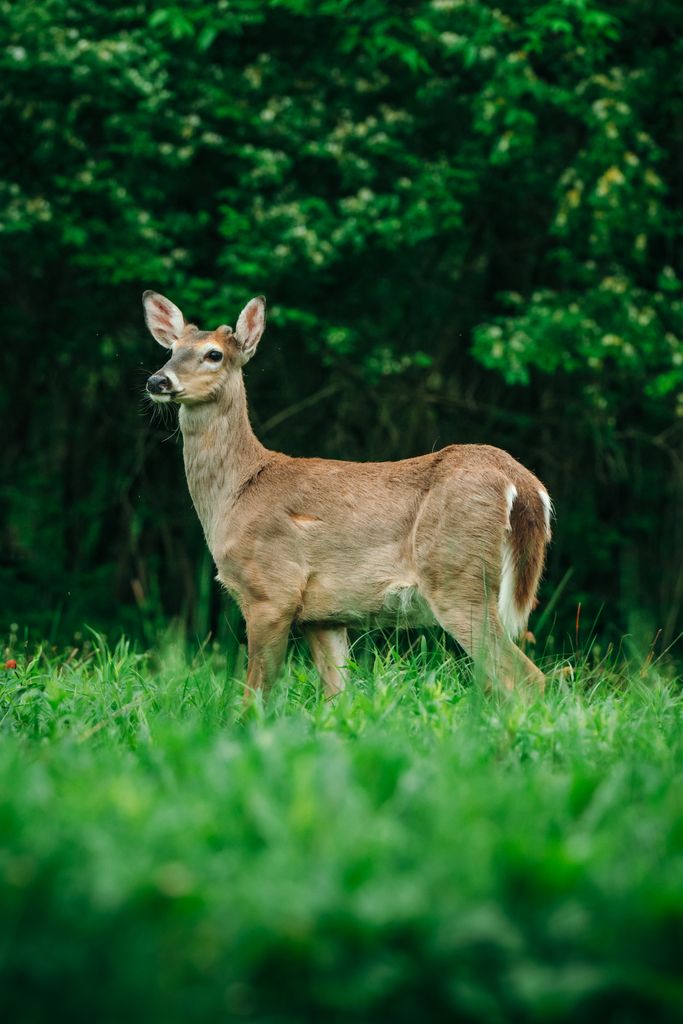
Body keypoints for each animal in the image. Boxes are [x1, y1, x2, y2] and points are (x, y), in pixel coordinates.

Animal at [143, 291, 552, 703]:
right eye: (171, 350)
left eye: (214, 354)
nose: (158, 380)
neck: (235, 493)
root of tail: (523, 483)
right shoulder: (324, 616)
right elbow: (337, 694)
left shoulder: (271, 591)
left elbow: (255, 694)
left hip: (458, 577)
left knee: (527, 677)